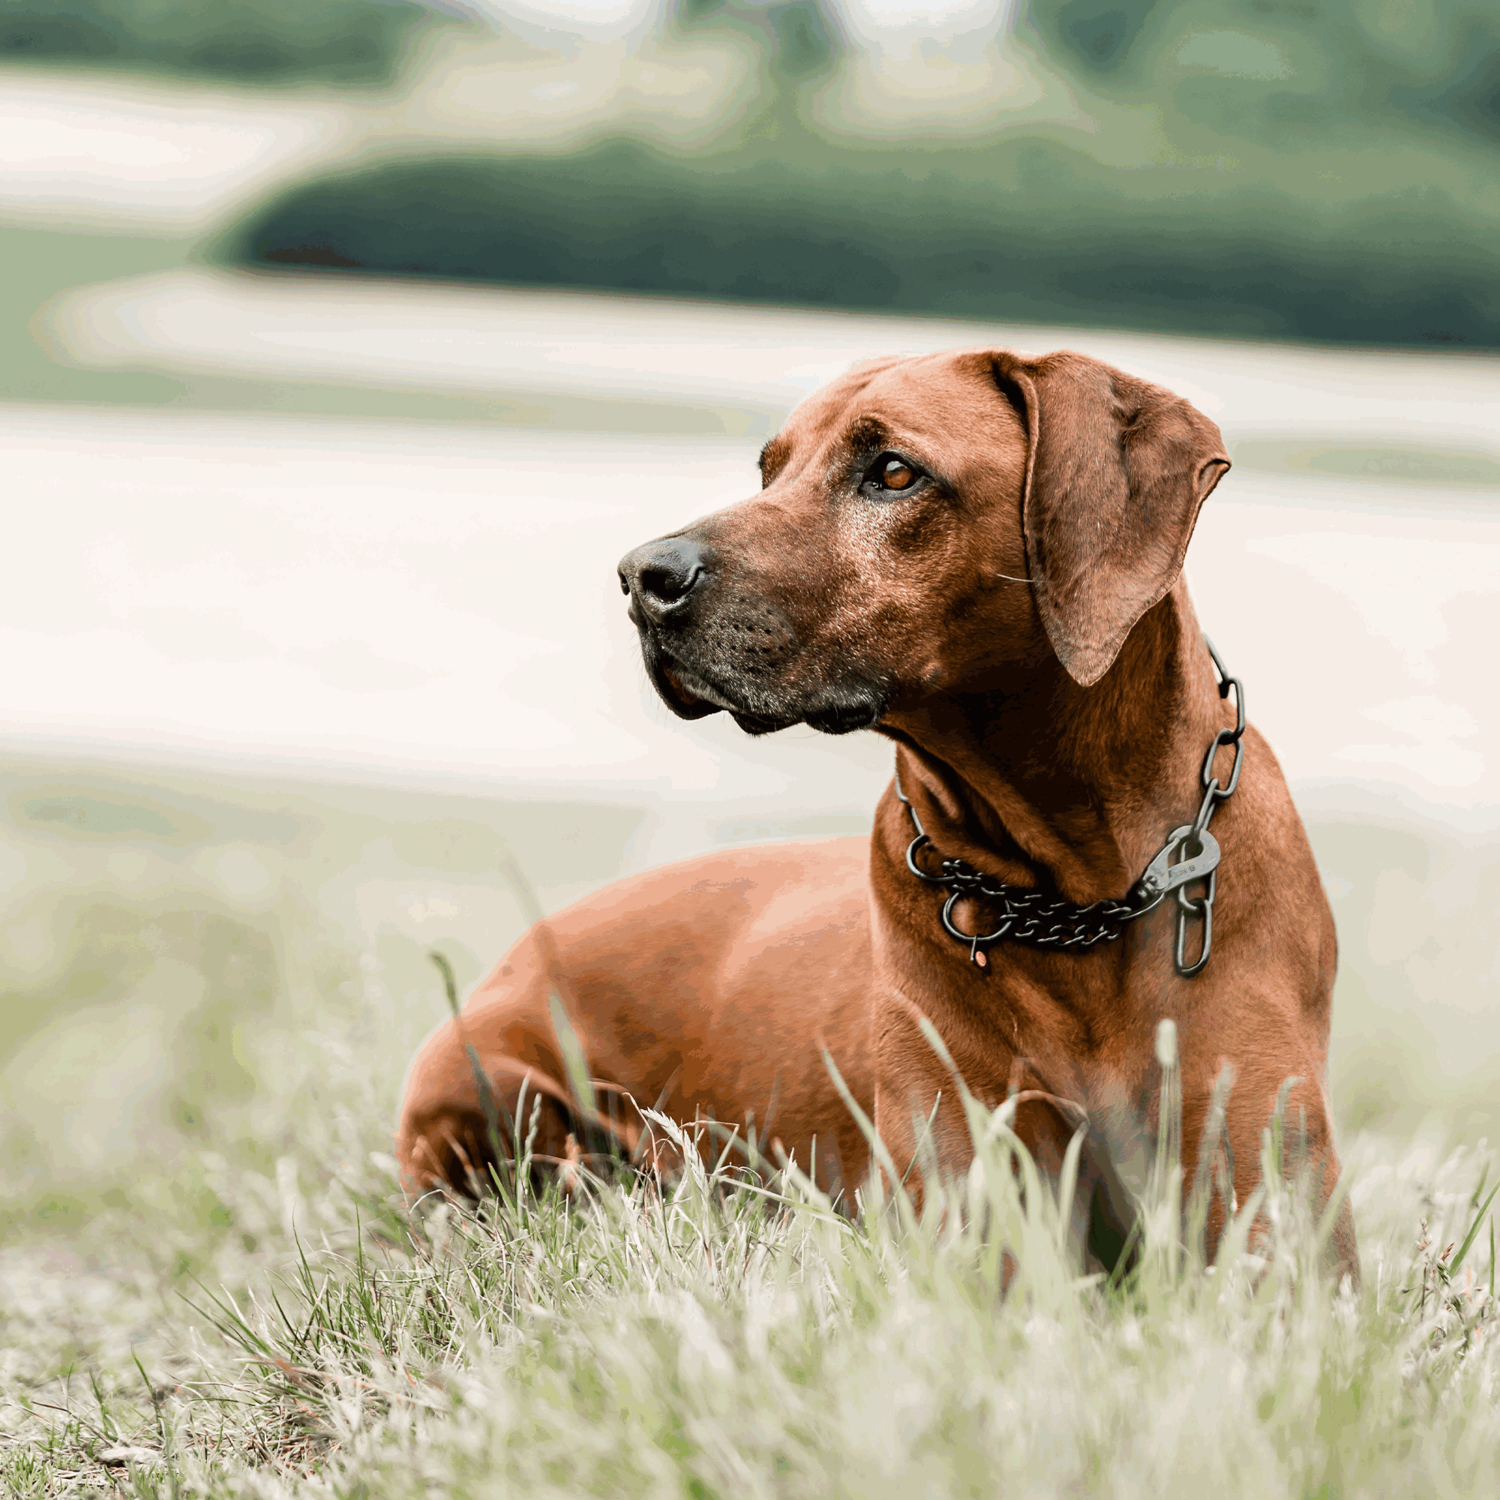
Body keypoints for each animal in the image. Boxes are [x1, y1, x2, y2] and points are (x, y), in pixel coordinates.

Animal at [396, 348, 1362, 1278]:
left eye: (894, 472)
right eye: (770, 471)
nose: (642, 576)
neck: (1078, 891)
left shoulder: (1279, 1215)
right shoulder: (972, 1187)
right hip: (491, 1087)